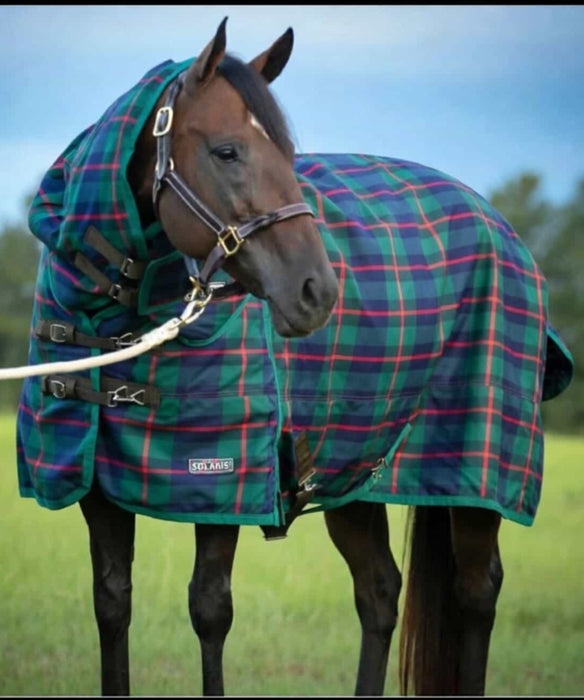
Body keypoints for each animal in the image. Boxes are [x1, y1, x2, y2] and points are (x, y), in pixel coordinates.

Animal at [14, 17, 573, 697]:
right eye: (227, 151)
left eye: (285, 152)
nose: (318, 291)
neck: (118, 318)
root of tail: (499, 223)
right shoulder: (97, 492)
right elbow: (111, 604)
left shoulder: (223, 483)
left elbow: (210, 610)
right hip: (355, 471)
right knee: (379, 592)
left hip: (473, 475)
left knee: (476, 592)